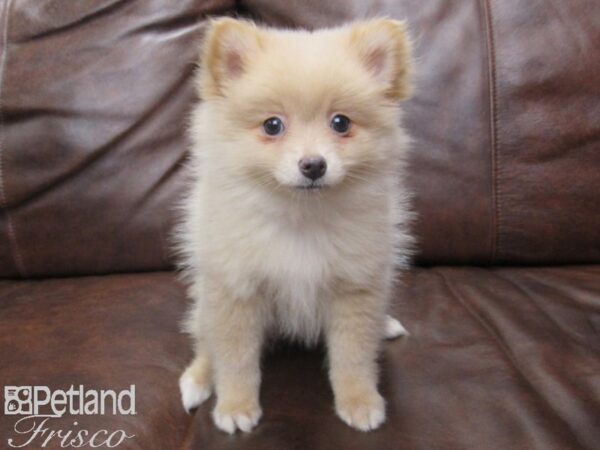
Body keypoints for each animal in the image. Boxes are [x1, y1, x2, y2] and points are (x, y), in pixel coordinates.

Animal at [176, 16, 414, 432]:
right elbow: (235, 358)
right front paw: (235, 406)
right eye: (272, 125)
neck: (301, 217)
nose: (313, 165)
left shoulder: (356, 288)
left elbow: (353, 355)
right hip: (208, 297)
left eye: (341, 123)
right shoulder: (235, 290)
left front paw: (359, 401)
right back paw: (198, 380)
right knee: (206, 339)